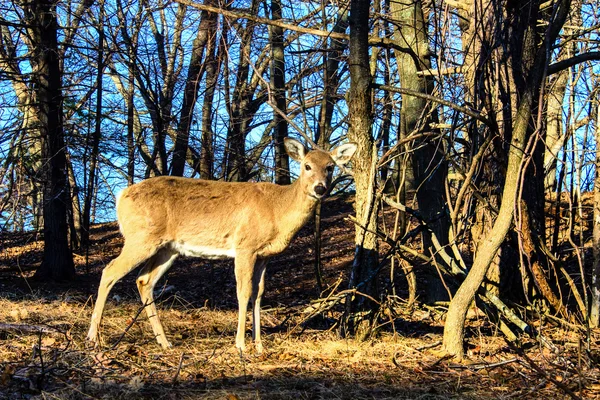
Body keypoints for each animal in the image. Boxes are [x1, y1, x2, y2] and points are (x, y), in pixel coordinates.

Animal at [85, 138, 356, 354]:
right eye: (307, 165)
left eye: (330, 167)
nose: (320, 187)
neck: (277, 210)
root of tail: (121, 196)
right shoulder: (245, 246)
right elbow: (243, 292)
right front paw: (241, 344)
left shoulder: (264, 255)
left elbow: (259, 294)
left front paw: (259, 345)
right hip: (141, 237)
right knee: (109, 271)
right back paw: (93, 338)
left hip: (167, 248)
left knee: (144, 280)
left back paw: (164, 342)